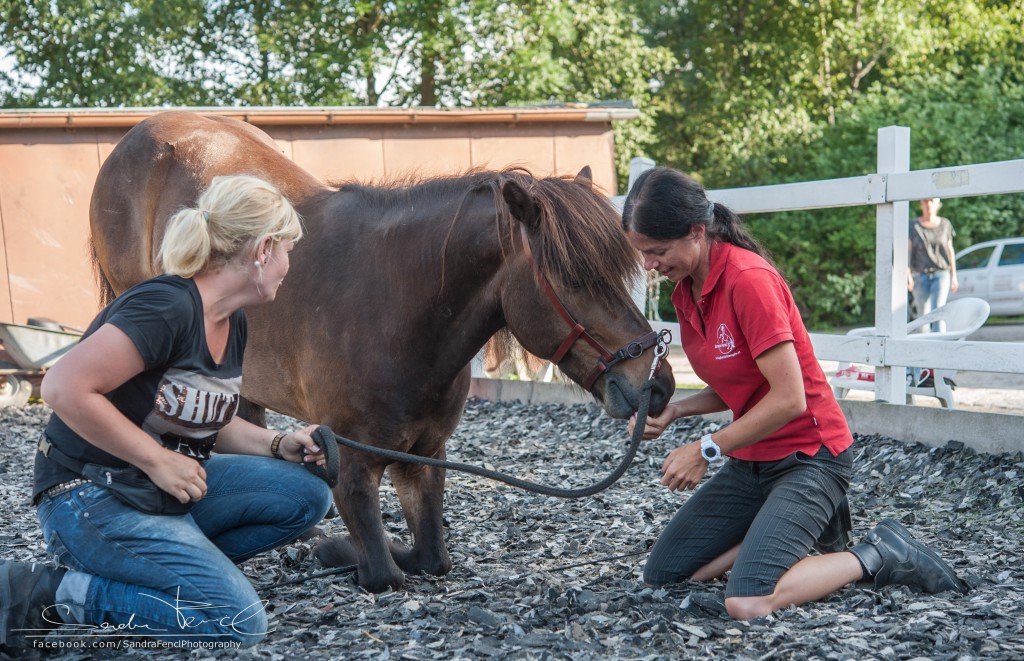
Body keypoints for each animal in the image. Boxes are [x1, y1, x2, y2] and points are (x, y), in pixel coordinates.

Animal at [90, 111, 679, 593]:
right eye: (575, 279)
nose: (657, 382)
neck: (397, 313)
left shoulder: (426, 455)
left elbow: (432, 558)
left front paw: (328, 547)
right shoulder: (351, 464)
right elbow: (382, 572)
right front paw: (334, 550)